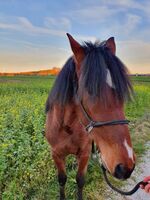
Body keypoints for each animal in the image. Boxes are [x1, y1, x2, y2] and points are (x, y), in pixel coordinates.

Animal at [45, 33, 135, 199]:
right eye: (90, 90)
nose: (126, 166)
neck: (67, 127)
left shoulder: (85, 153)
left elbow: (80, 180)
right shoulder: (56, 154)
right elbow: (62, 179)